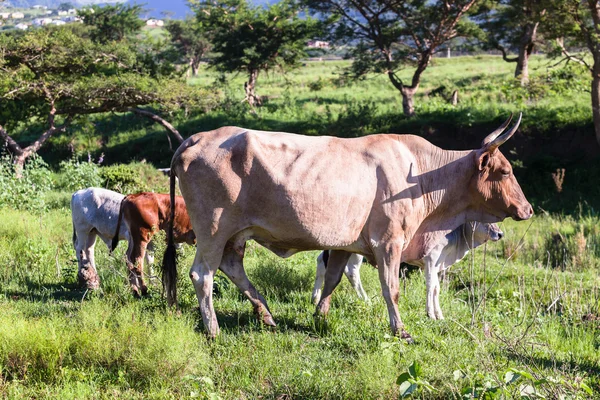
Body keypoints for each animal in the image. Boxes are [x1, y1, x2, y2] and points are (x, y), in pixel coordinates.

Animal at [312, 220, 504, 320]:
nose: (500, 234)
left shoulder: (437, 264)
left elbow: (436, 288)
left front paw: (439, 314)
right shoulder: (431, 259)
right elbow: (431, 287)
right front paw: (431, 313)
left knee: (339, 267)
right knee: (333, 265)